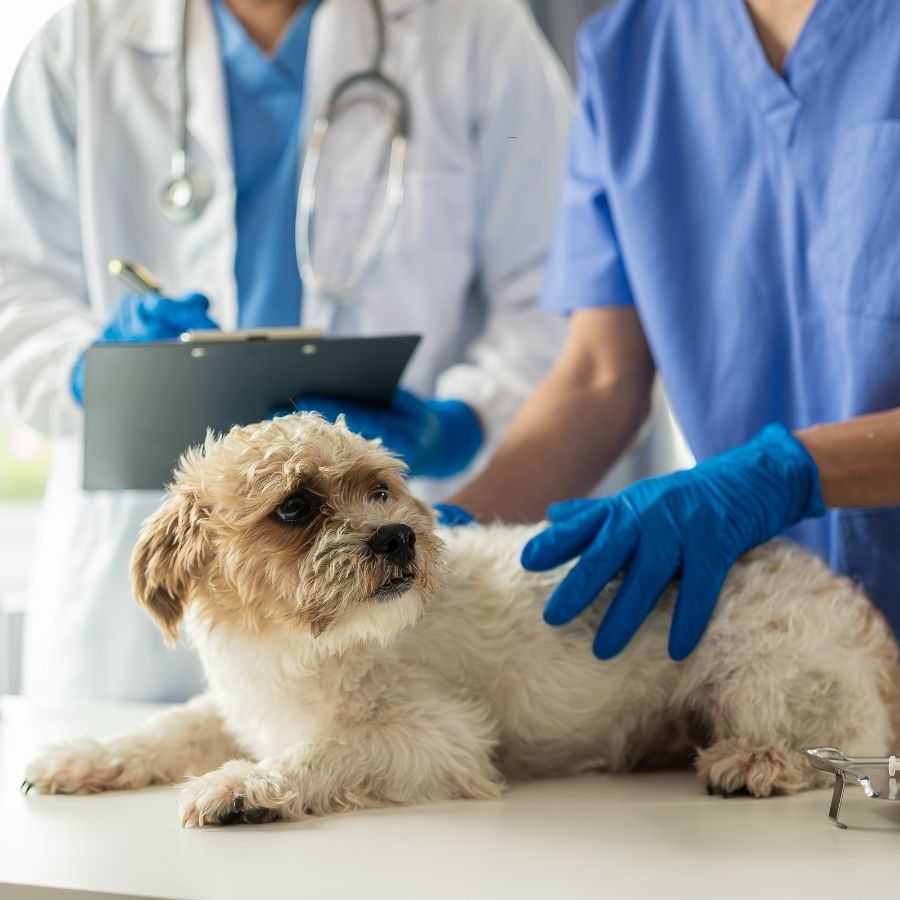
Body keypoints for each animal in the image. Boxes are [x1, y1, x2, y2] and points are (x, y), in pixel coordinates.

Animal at [22, 414, 900, 824]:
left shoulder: (440, 740)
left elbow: (322, 752)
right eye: (297, 506)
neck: (300, 651)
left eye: (380, 488)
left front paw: (243, 787)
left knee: (828, 749)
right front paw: (85, 757)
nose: (398, 534)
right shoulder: (238, 706)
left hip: (755, 671)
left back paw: (754, 762)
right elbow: (163, 731)